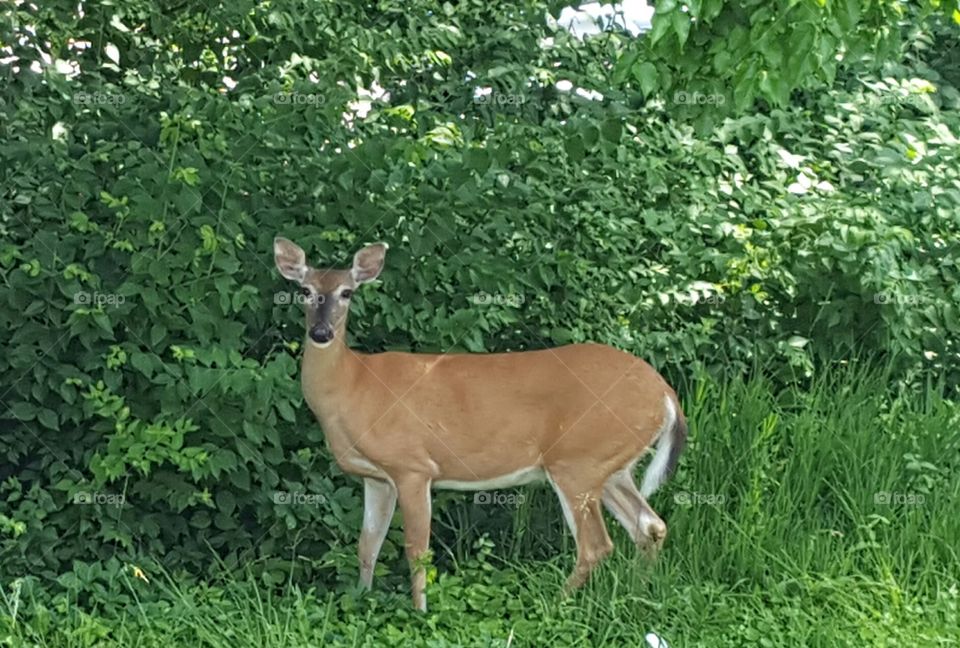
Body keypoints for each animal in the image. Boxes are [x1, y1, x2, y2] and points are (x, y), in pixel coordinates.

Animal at [273, 236, 688, 611]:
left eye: (346, 292)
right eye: (306, 290)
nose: (321, 333)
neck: (354, 386)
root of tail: (665, 393)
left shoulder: (413, 466)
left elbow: (416, 549)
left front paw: (420, 611)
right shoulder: (376, 477)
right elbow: (367, 545)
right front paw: (361, 598)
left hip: (578, 460)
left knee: (597, 544)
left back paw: (554, 605)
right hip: (610, 465)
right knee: (650, 525)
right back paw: (638, 594)